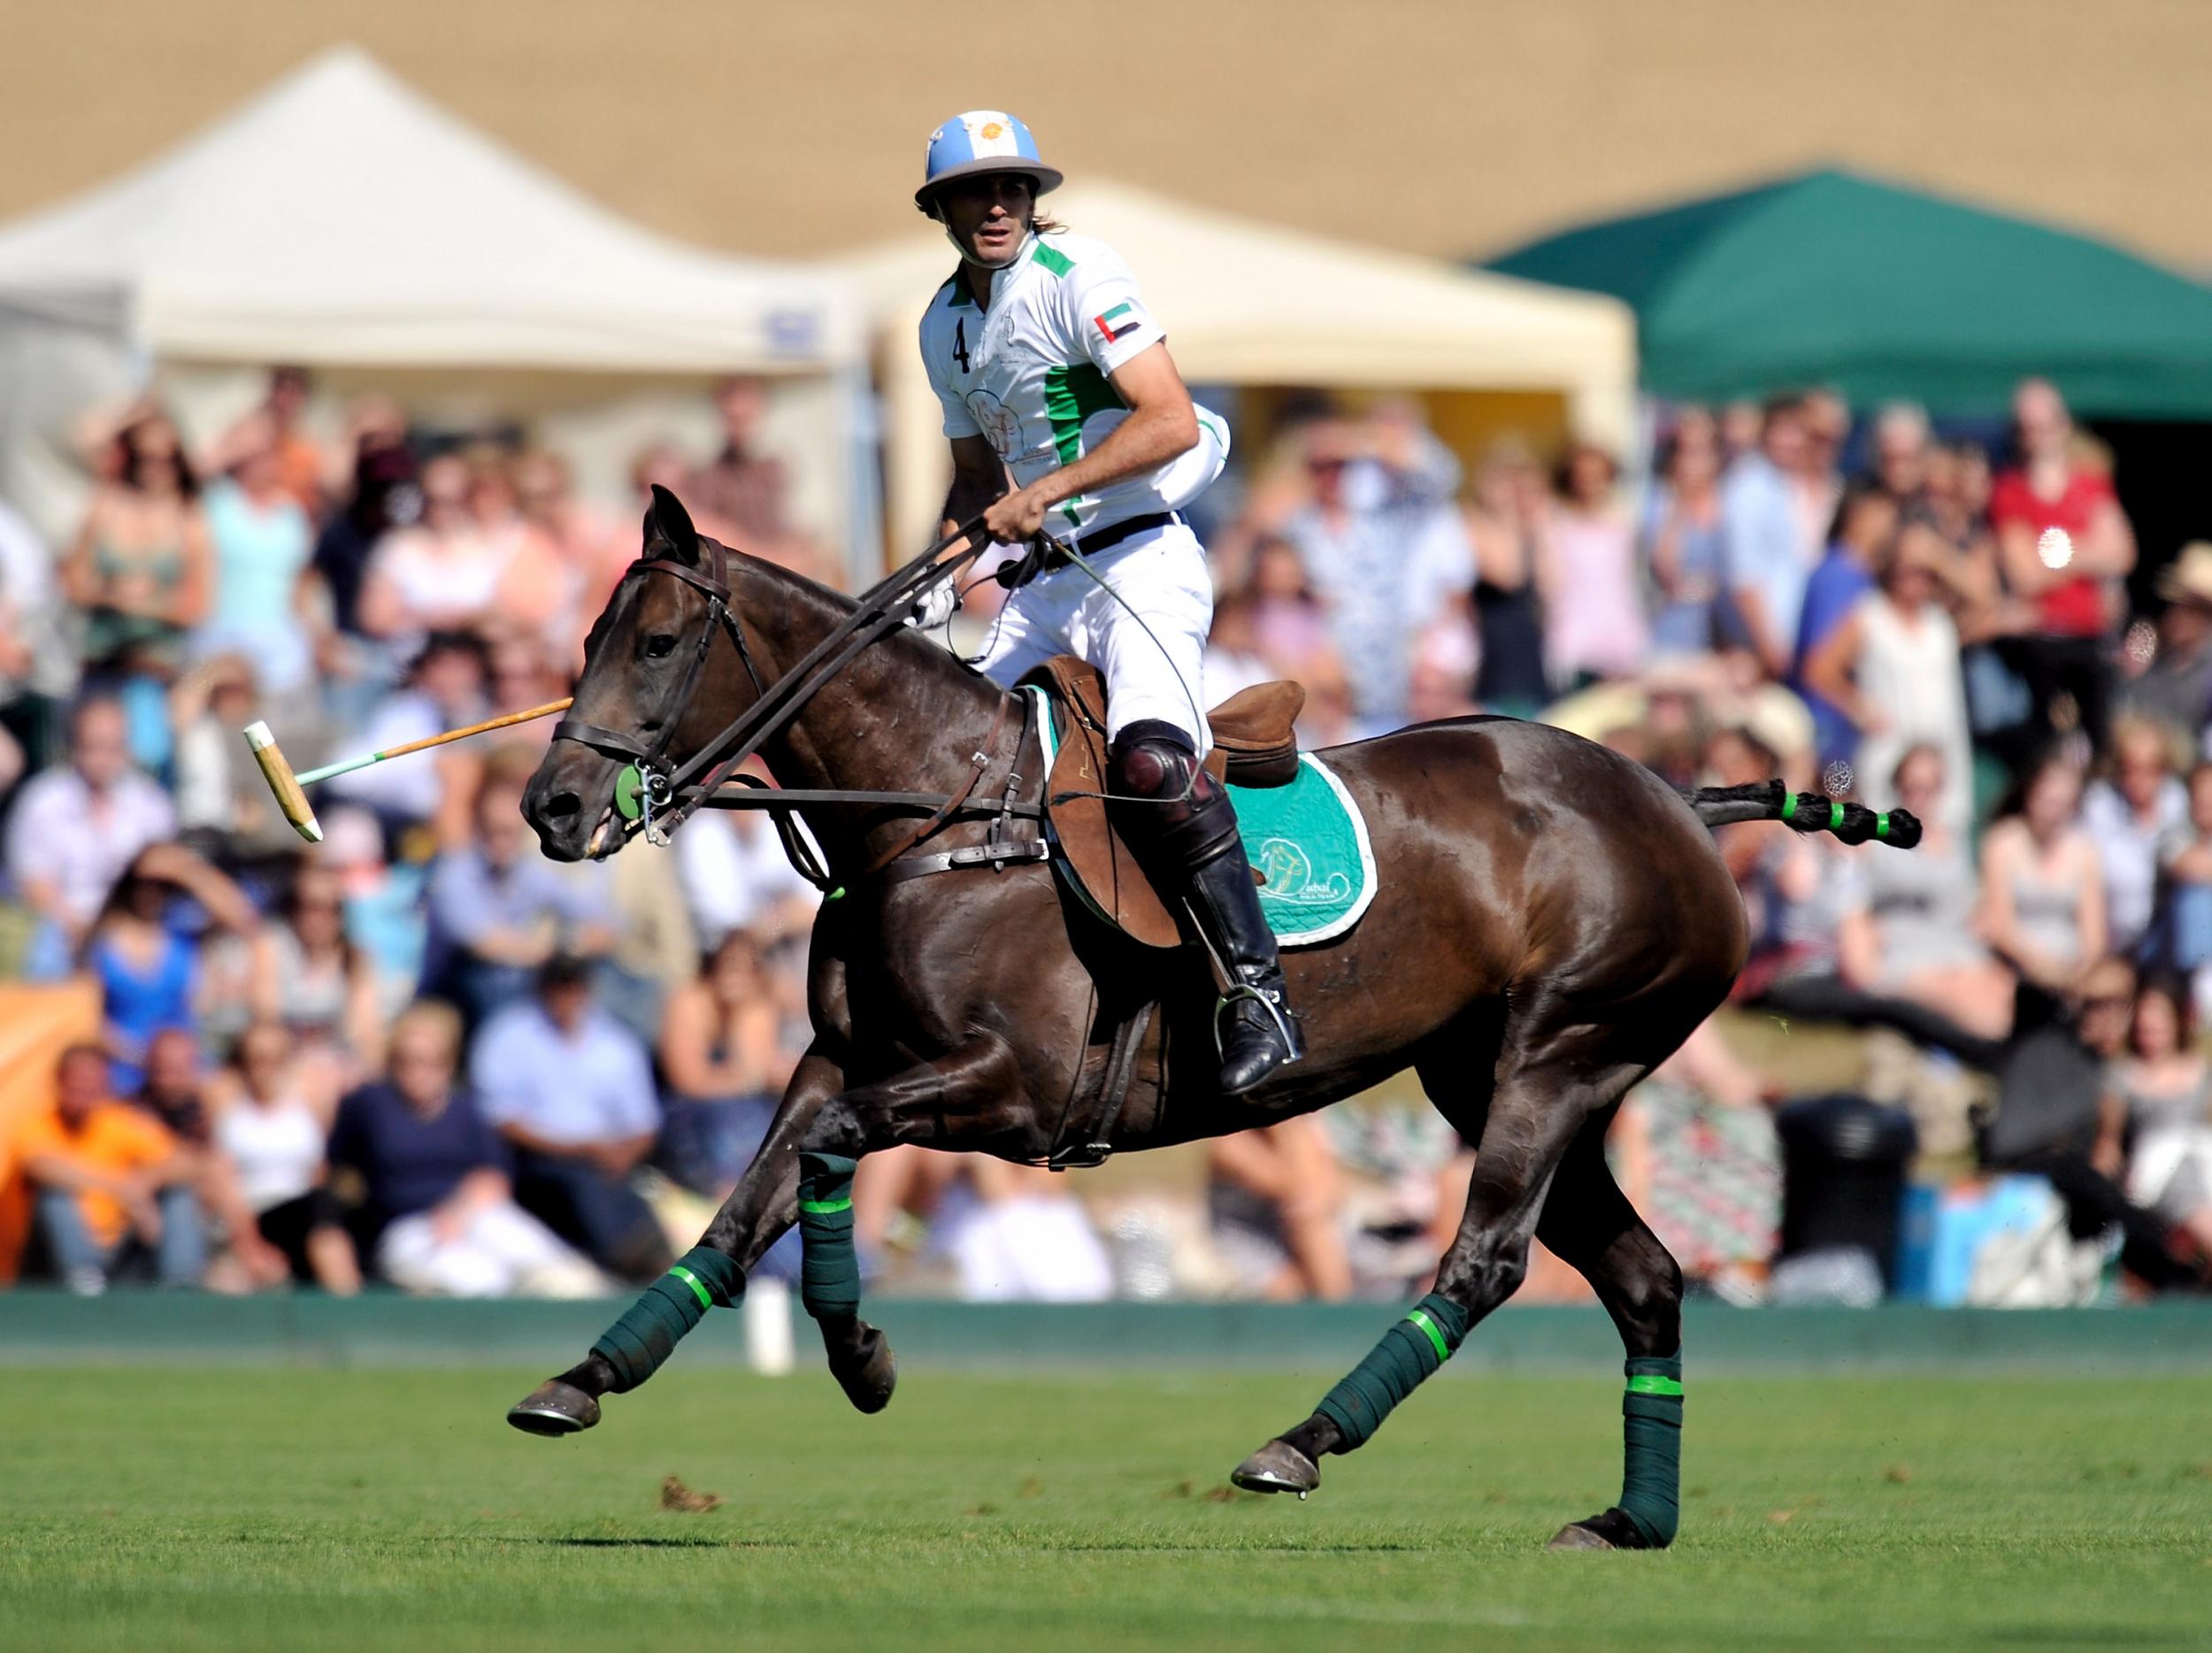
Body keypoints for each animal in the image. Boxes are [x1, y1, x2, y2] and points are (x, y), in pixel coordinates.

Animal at [506, 491, 1902, 1549]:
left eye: (657, 641)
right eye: (587, 634)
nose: (552, 808)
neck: (941, 809)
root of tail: (1676, 797)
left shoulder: (1008, 1087)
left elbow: (832, 1149)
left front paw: (860, 1356)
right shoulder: (839, 1054)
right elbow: (747, 1205)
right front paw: (582, 1381)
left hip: (1564, 1051)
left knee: (1489, 1258)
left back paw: (1302, 1441)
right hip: (1490, 1066)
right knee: (1646, 1276)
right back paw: (1628, 1522)